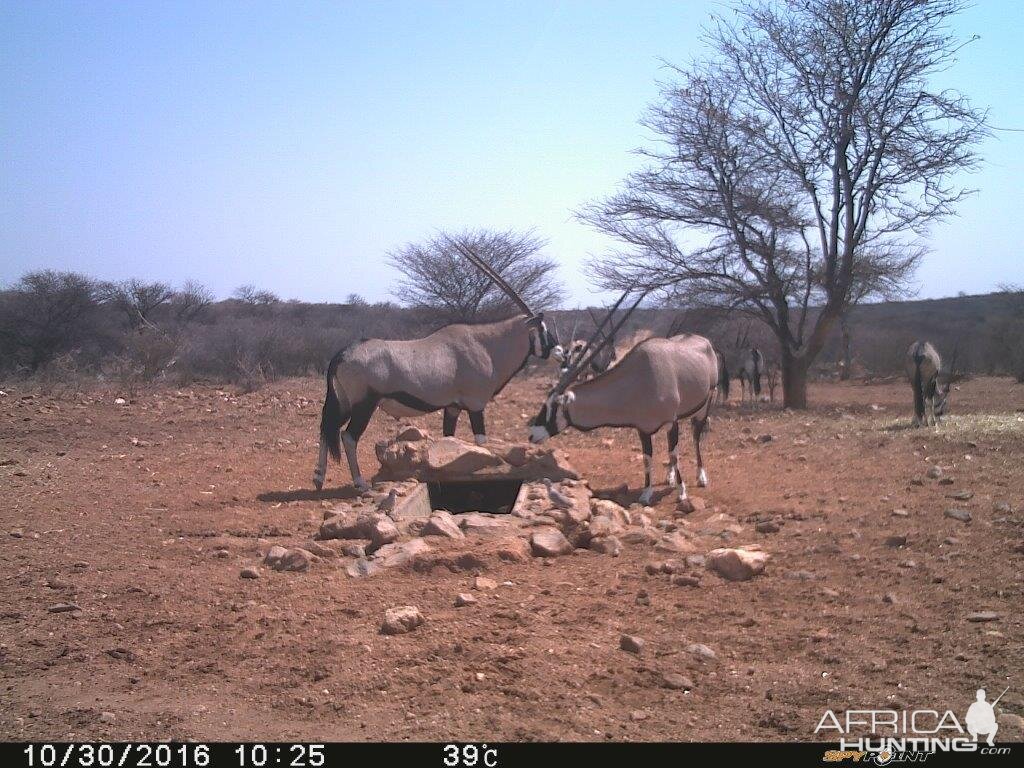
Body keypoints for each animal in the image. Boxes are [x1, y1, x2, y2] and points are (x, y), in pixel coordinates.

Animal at [315, 243, 565, 489]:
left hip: (343, 402)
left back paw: (318, 478)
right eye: (542, 329)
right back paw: (359, 483)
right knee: (348, 436)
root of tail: (342, 354)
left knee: (327, 427)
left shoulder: (453, 407)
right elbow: (481, 441)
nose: (561, 353)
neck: (486, 345)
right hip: (364, 404)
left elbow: (449, 438)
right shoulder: (476, 405)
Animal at [532, 296, 716, 507]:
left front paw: (682, 492)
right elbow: (647, 458)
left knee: (695, 437)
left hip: (704, 407)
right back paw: (669, 476)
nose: (532, 434)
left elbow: (674, 453)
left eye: (553, 406)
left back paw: (701, 477)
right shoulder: (643, 429)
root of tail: (704, 342)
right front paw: (646, 493)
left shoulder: (671, 422)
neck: (639, 377)